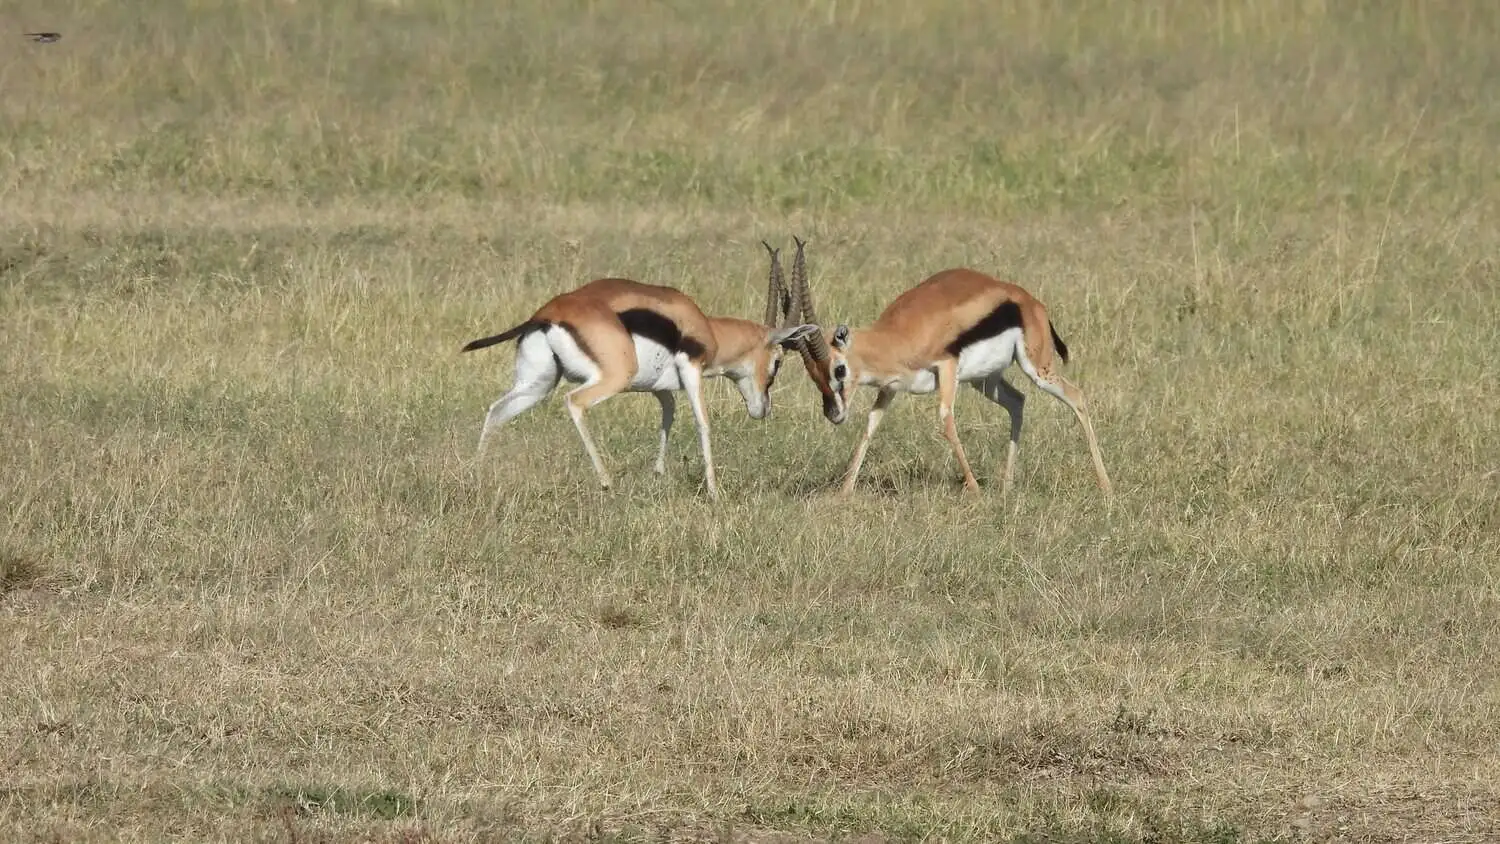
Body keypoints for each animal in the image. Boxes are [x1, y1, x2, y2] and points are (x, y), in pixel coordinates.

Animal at [461, 272, 817, 500]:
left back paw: (477, 475)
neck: (704, 327)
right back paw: (607, 483)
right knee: (574, 402)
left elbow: (668, 417)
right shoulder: (692, 369)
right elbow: (702, 423)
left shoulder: (661, 389)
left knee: (496, 411)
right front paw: (715, 492)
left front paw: (657, 475)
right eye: (778, 362)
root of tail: (547, 314)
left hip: (538, 384)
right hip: (611, 378)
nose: (763, 408)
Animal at [773, 237, 1113, 497]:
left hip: (1037, 368)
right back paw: (1006, 486)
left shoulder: (946, 368)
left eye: (839, 369)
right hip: (985, 380)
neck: (896, 337)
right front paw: (843, 492)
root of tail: (1029, 301)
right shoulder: (891, 388)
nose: (834, 414)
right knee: (1018, 401)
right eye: (813, 374)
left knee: (1077, 396)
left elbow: (946, 421)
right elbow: (871, 425)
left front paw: (974, 489)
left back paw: (1105, 485)